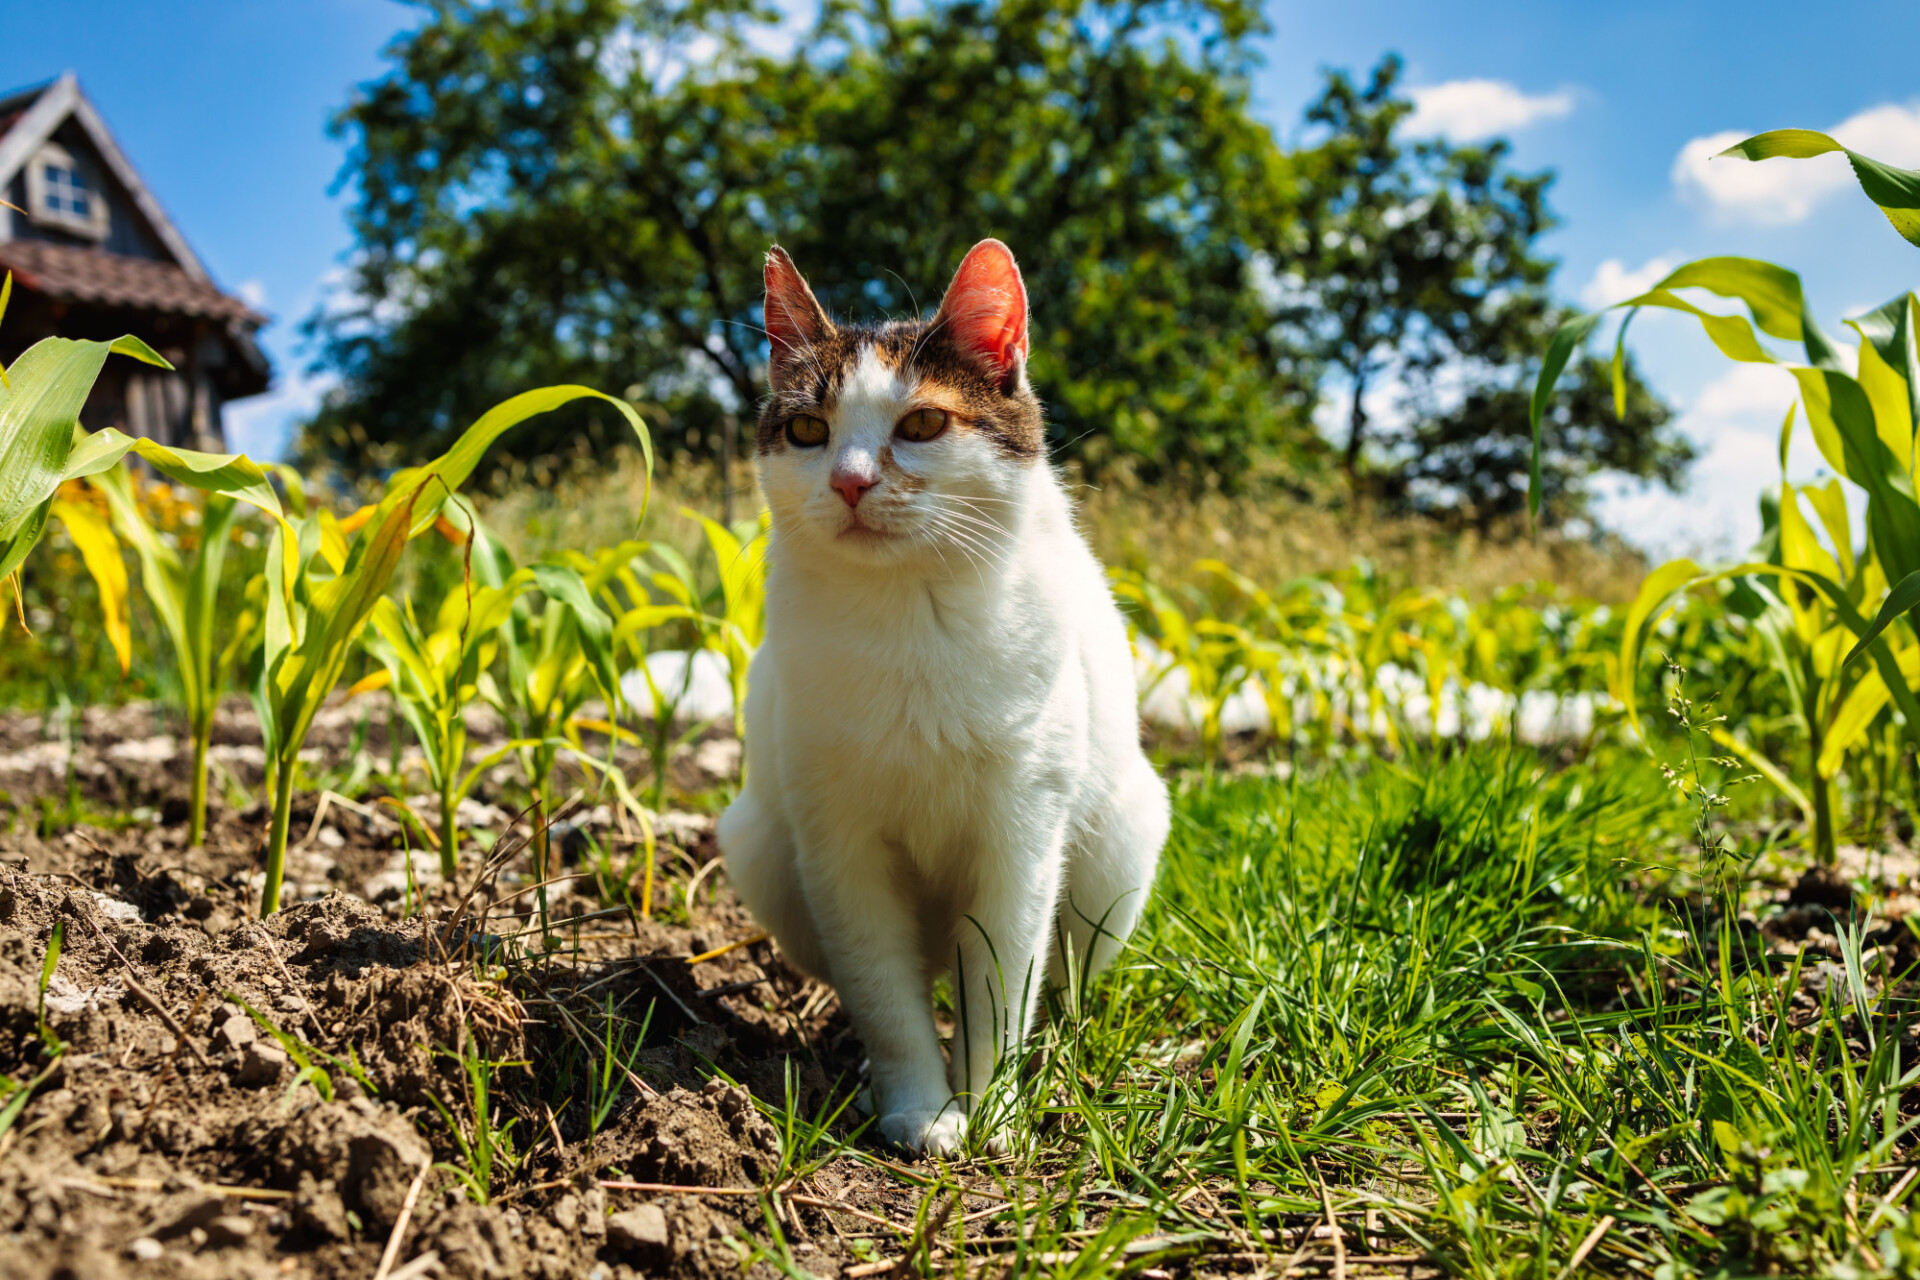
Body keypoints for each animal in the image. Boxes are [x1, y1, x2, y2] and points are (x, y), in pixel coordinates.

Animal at [721, 235, 1167, 1159]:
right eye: (809, 430)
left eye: (922, 423)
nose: (851, 482)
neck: (909, 615)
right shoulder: (838, 845)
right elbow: (885, 997)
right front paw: (917, 1109)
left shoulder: (1022, 835)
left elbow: (1000, 984)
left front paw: (991, 1109)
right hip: (759, 849)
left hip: (1120, 845)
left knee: (1060, 984)